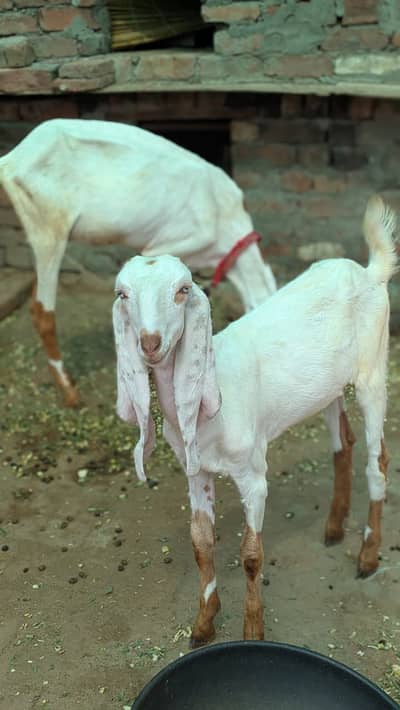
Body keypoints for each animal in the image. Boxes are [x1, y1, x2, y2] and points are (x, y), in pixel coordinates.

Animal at [115, 194, 396, 646]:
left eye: (182, 291)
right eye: (123, 294)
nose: (150, 342)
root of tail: (370, 272)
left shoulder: (252, 473)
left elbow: (250, 554)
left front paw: (252, 629)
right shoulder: (195, 471)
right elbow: (201, 543)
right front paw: (204, 623)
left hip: (373, 370)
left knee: (378, 460)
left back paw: (368, 557)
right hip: (328, 388)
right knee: (344, 442)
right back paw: (334, 527)